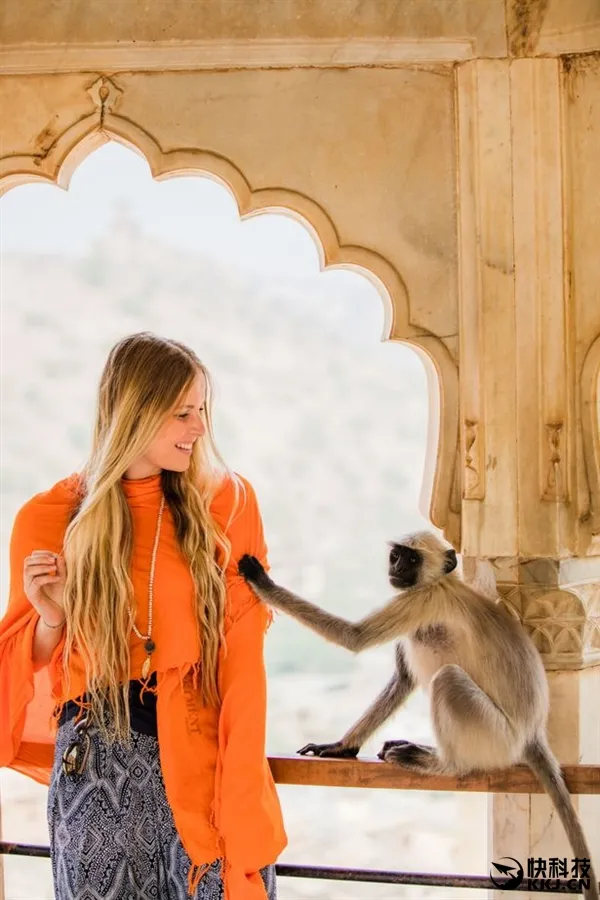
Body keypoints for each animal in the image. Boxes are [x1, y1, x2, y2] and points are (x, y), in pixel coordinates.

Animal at [237, 536, 596, 900]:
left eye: (411, 559)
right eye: (396, 555)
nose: (395, 568)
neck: (441, 582)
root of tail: (532, 733)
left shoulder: (421, 601)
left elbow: (354, 637)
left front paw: (261, 581)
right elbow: (403, 678)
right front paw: (341, 746)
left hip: (496, 734)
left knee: (448, 679)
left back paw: (441, 763)